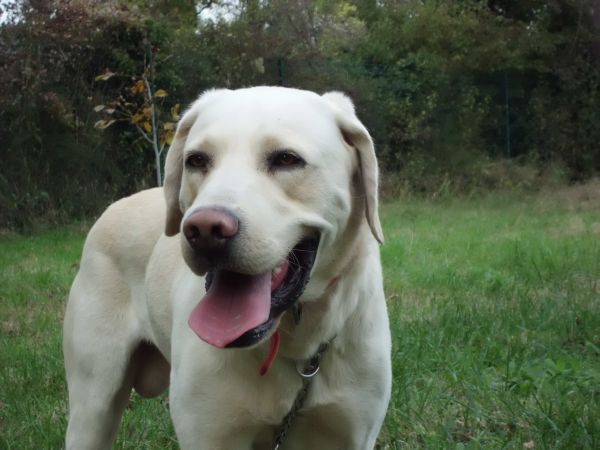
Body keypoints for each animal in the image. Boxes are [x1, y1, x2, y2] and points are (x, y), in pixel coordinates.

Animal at [63, 88, 392, 450]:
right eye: (196, 160)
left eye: (287, 159)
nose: (205, 230)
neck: (296, 346)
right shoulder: (209, 436)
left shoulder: (352, 435)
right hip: (93, 406)